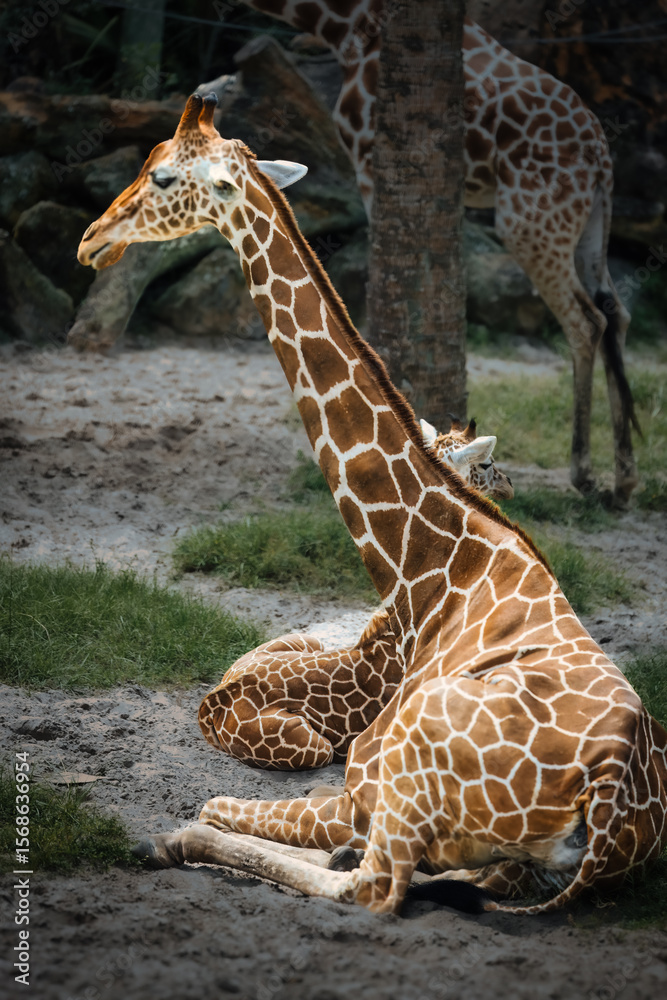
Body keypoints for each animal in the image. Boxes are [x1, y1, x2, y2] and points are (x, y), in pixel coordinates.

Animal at [230, 1, 639, 506]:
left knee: (586, 321)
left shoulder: (369, 156)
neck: (347, 27)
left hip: (529, 221)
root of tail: (602, 157)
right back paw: (624, 479)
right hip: (590, 224)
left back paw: (582, 473)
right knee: (615, 313)